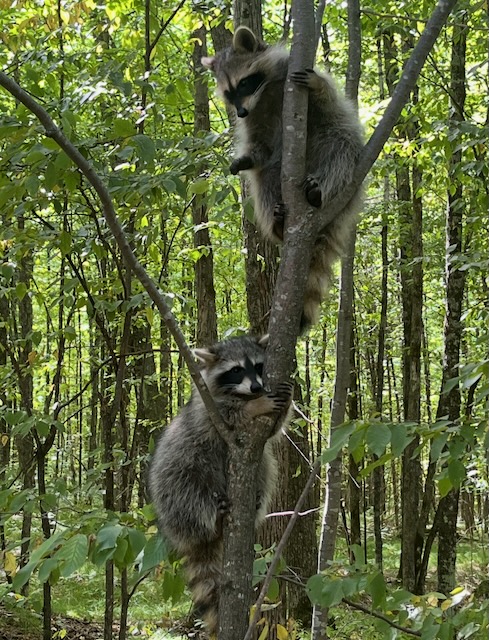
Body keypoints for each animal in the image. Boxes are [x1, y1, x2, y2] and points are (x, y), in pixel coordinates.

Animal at [148, 334, 292, 634]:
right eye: (236, 370)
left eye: (258, 366)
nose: (257, 387)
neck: (239, 392)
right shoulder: (207, 410)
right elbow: (229, 415)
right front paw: (253, 407)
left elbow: (272, 432)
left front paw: (286, 401)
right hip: (175, 480)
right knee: (186, 487)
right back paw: (209, 518)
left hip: (258, 468)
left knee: (266, 464)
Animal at [202, 27, 364, 330]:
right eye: (229, 93)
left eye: (244, 83)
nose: (240, 111)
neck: (263, 94)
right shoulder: (254, 120)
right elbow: (261, 149)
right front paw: (246, 158)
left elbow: (327, 97)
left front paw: (317, 85)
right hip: (276, 175)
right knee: (265, 179)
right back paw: (277, 224)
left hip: (339, 157)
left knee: (339, 150)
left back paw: (320, 189)